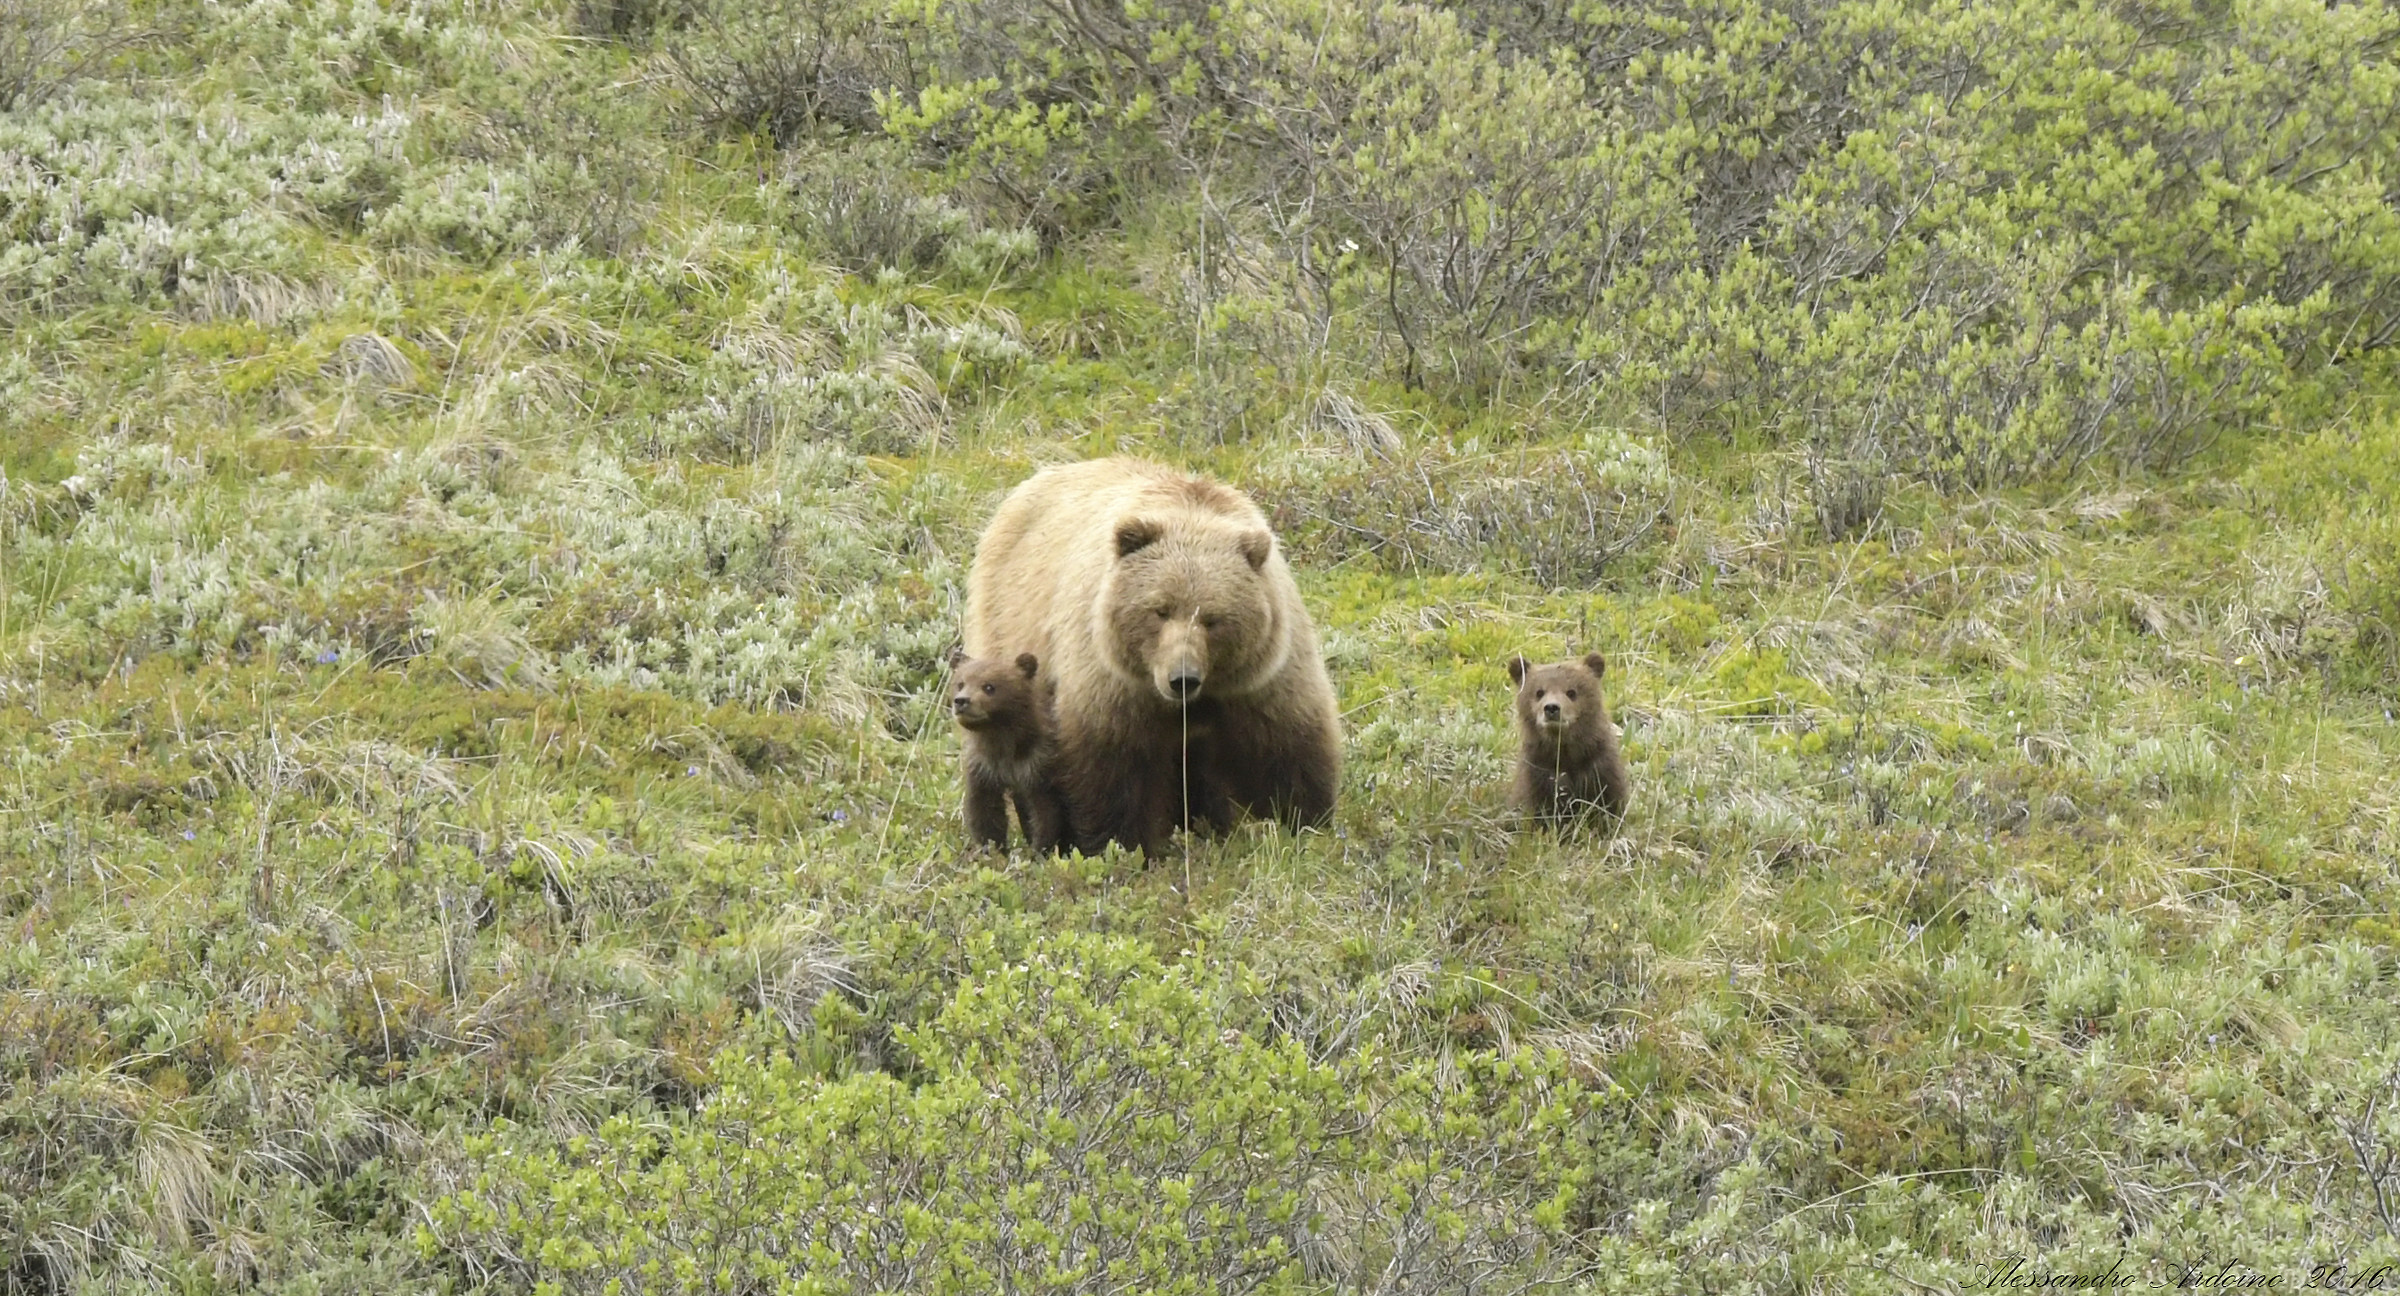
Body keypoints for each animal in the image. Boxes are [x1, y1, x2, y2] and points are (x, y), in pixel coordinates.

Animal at [947, 647, 1069, 854]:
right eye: (960, 683)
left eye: (989, 686)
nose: (961, 701)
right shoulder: (983, 768)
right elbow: (984, 810)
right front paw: (993, 849)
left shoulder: (1037, 766)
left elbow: (1044, 813)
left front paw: (1039, 850)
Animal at [963, 457, 1341, 855]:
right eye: (1160, 610)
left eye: (1212, 618)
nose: (1182, 678)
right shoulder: (1115, 683)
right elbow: (1113, 770)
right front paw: (1124, 844)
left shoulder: (1262, 680)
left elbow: (1287, 752)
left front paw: (1303, 823)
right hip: (1007, 630)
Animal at [1509, 652, 1630, 828]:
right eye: (1539, 692)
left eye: (1571, 692)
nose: (1552, 708)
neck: (1566, 754)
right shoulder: (1538, 774)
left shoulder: (1599, 770)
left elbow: (1609, 806)